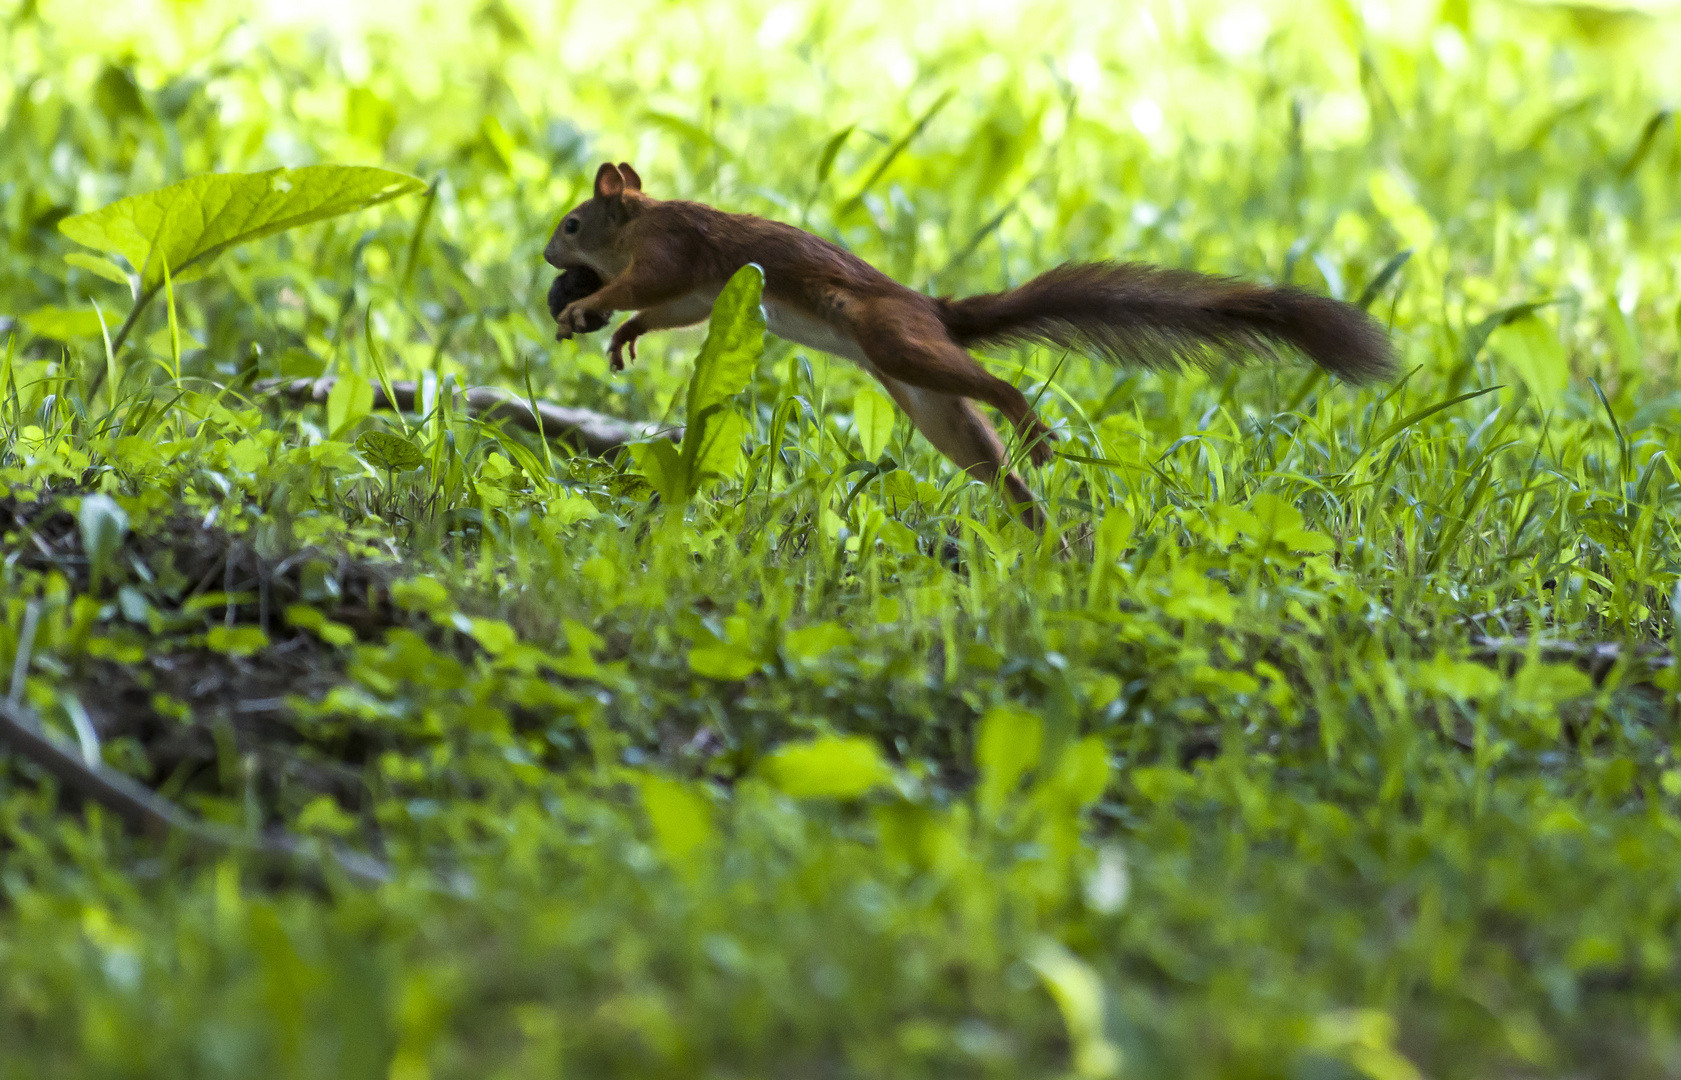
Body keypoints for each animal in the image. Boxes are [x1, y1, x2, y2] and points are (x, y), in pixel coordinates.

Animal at [548, 160, 1391, 524]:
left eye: (571, 224)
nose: (551, 259)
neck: (637, 223)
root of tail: (933, 310)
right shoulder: (694, 291)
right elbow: (664, 315)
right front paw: (620, 334)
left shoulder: (669, 251)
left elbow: (640, 290)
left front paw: (585, 307)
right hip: (930, 406)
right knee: (988, 457)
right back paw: (1039, 529)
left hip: (897, 345)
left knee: (998, 385)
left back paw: (1033, 430)